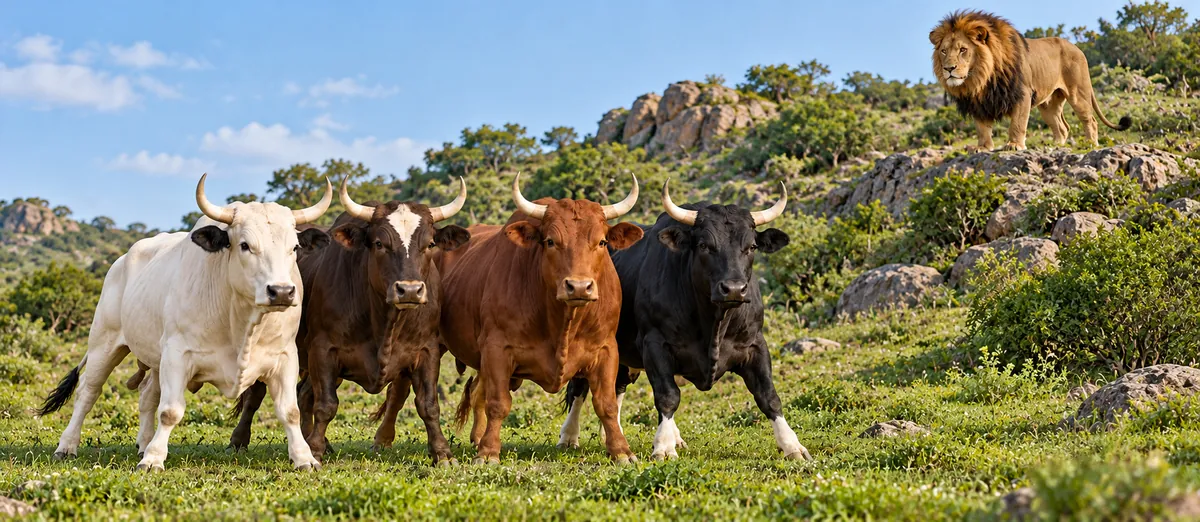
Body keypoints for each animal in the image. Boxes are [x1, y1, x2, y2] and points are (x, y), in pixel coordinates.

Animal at [930, 10, 1131, 151]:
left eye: (963, 50)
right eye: (944, 51)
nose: (948, 69)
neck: (982, 80)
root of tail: (1077, 48)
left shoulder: (1022, 94)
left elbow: (1017, 124)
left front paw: (1014, 145)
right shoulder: (978, 103)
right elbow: (982, 128)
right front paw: (982, 147)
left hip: (1078, 94)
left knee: (1091, 121)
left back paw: (1090, 144)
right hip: (1048, 105)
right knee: (1062, 127)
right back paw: (1055, 145)